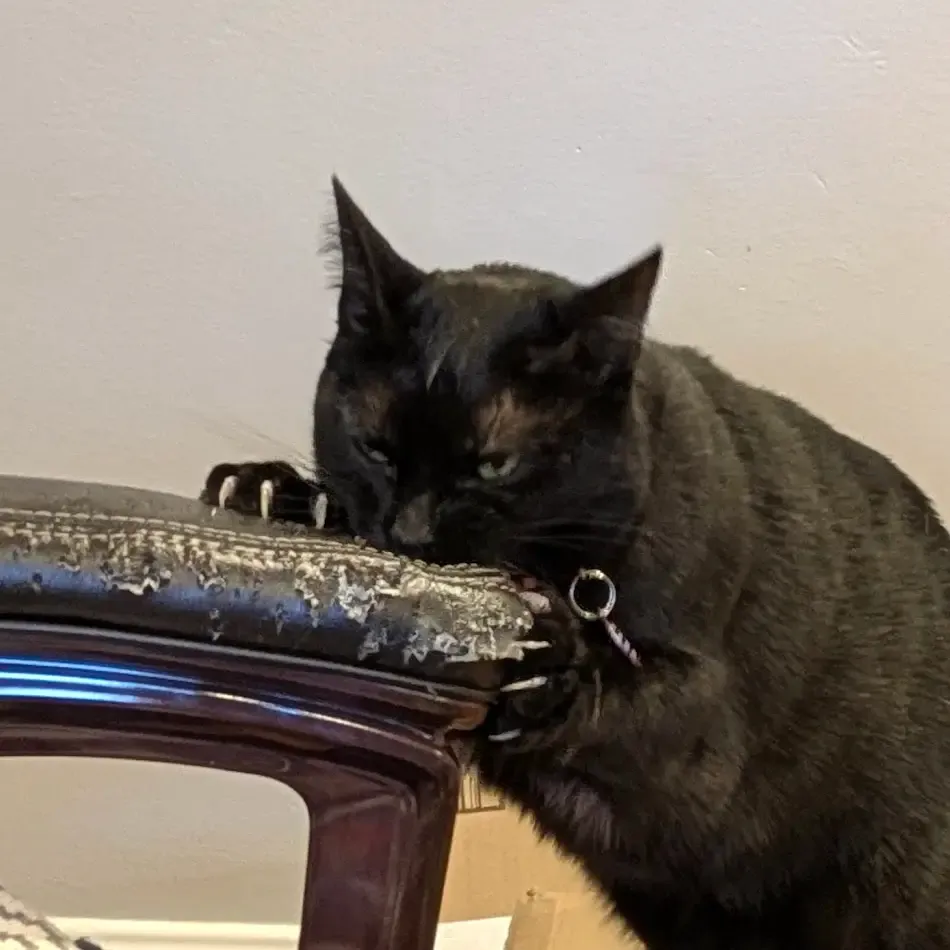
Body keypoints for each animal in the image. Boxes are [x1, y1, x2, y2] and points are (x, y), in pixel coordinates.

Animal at [203, 177, 950, 944]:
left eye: (494, 464)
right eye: (375, 447)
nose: (408, 534)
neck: (585, 580)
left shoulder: (704, 735)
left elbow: (632, 695)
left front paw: (548, 664)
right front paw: (276, 491)